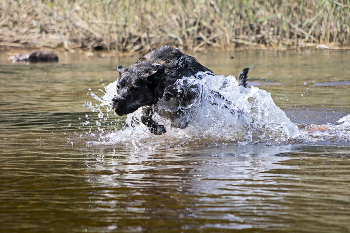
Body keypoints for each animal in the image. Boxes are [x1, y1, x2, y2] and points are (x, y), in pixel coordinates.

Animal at [112, 46, 249, 135]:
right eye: (118, 86)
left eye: (134, 88)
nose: (115, 100)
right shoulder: (150, 104)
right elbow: (144, 117)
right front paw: (156, 129)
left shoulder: (193, 93)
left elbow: (179, 119)